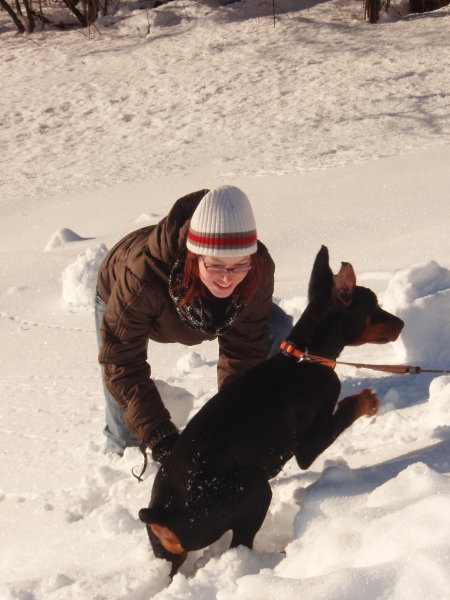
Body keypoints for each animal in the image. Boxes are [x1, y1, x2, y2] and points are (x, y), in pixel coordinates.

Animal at [138, 246, 404, 576]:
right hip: (253, 488)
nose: (401, 323)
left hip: (167, 554)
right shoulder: (308, 445)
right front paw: (368, 401)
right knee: (241, 544)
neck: (306, 358)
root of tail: (163, 519)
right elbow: (345, 409)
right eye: (374, 305)